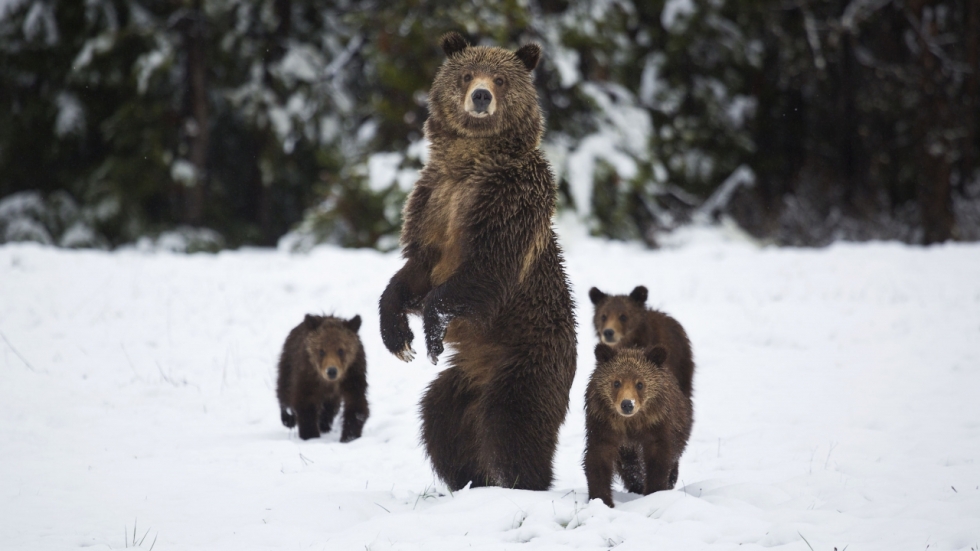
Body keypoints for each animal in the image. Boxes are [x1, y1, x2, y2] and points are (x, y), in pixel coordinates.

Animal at [376, 32, 576, 492]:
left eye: (500, 79)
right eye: (467, 74)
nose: (481, 96)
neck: (470, 163)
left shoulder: (508, 202)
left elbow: (486, 268)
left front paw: (431, 332)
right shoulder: (433, 201)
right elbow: (414, 269)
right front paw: (399, 338)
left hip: (526, 360)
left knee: (513, 424)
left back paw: (521, 481)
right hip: (463, 379)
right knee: (440, 422)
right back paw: (470, 479)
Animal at [584, 344, 692, 508]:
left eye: (640, 384)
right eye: (616, 382)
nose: (627, 404)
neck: (632, 422)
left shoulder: (657, 423)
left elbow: (659, 458)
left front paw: (655, 491)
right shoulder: (603, 423)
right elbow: (599, 457)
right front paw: (601, 499)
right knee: (629, 465)